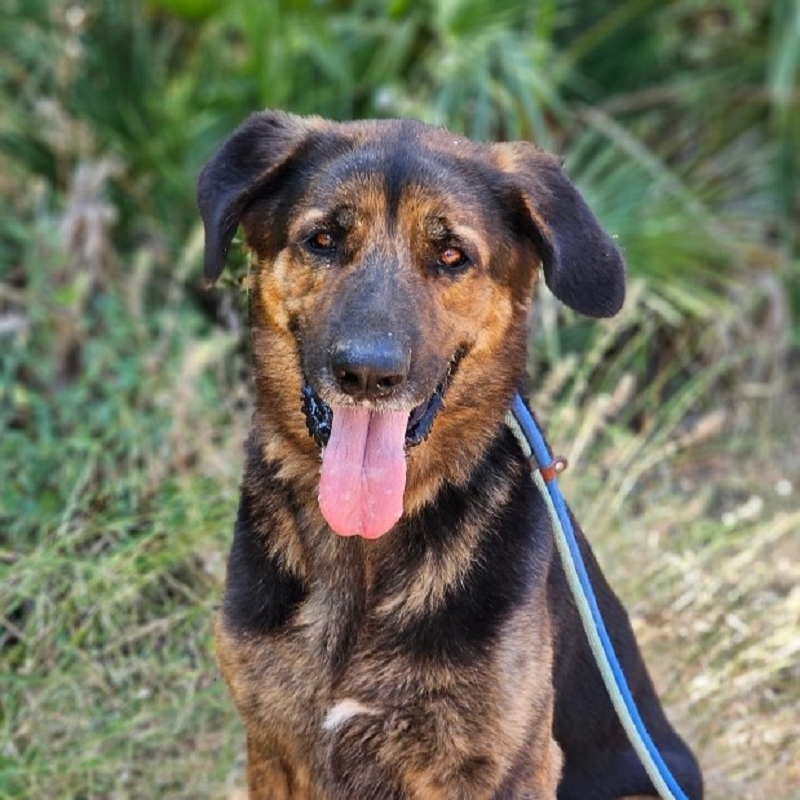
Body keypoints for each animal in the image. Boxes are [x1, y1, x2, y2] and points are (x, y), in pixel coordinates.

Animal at [197, 111, 703, 799]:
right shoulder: (273, 752)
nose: (367, 373)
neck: (364, 554)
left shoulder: (506, 766)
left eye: (451, 256)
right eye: (323, 239)